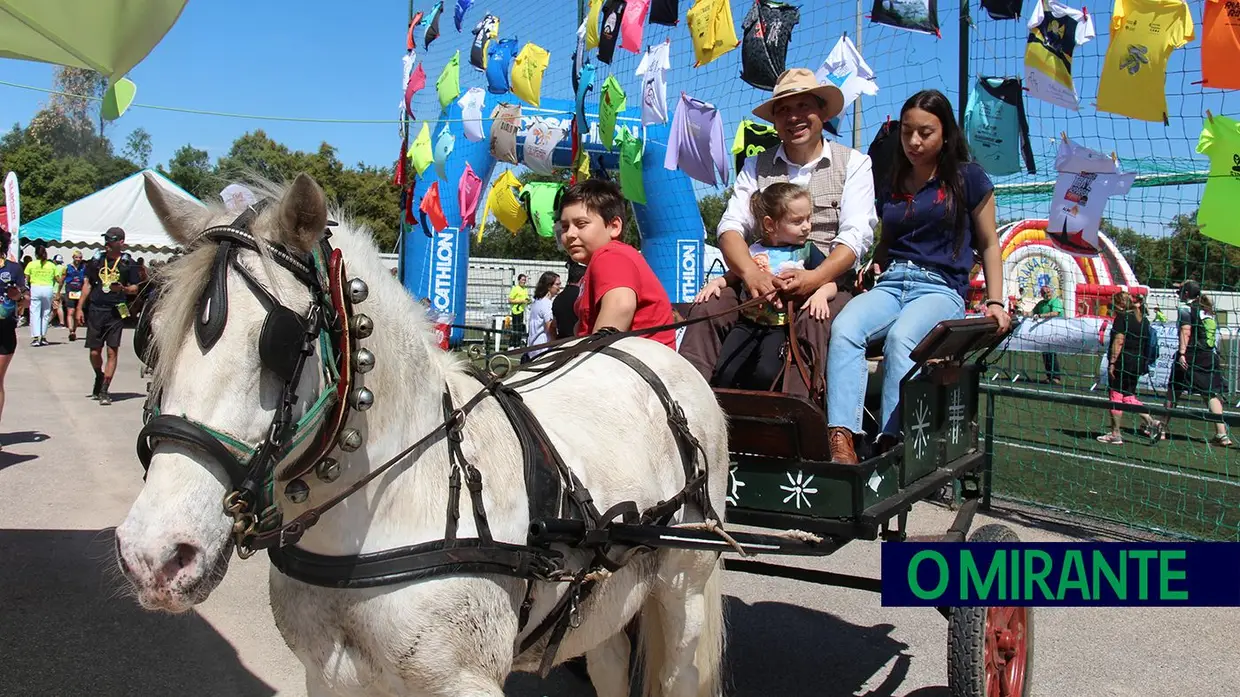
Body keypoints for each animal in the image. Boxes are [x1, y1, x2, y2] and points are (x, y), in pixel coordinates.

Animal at [114, 172, 724, 694]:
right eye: (150, 334)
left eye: (279, 343)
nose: (155, 555)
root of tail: (650, 353)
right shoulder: (329, 677)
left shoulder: (464, 682)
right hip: (607, 599)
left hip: (684, 588)